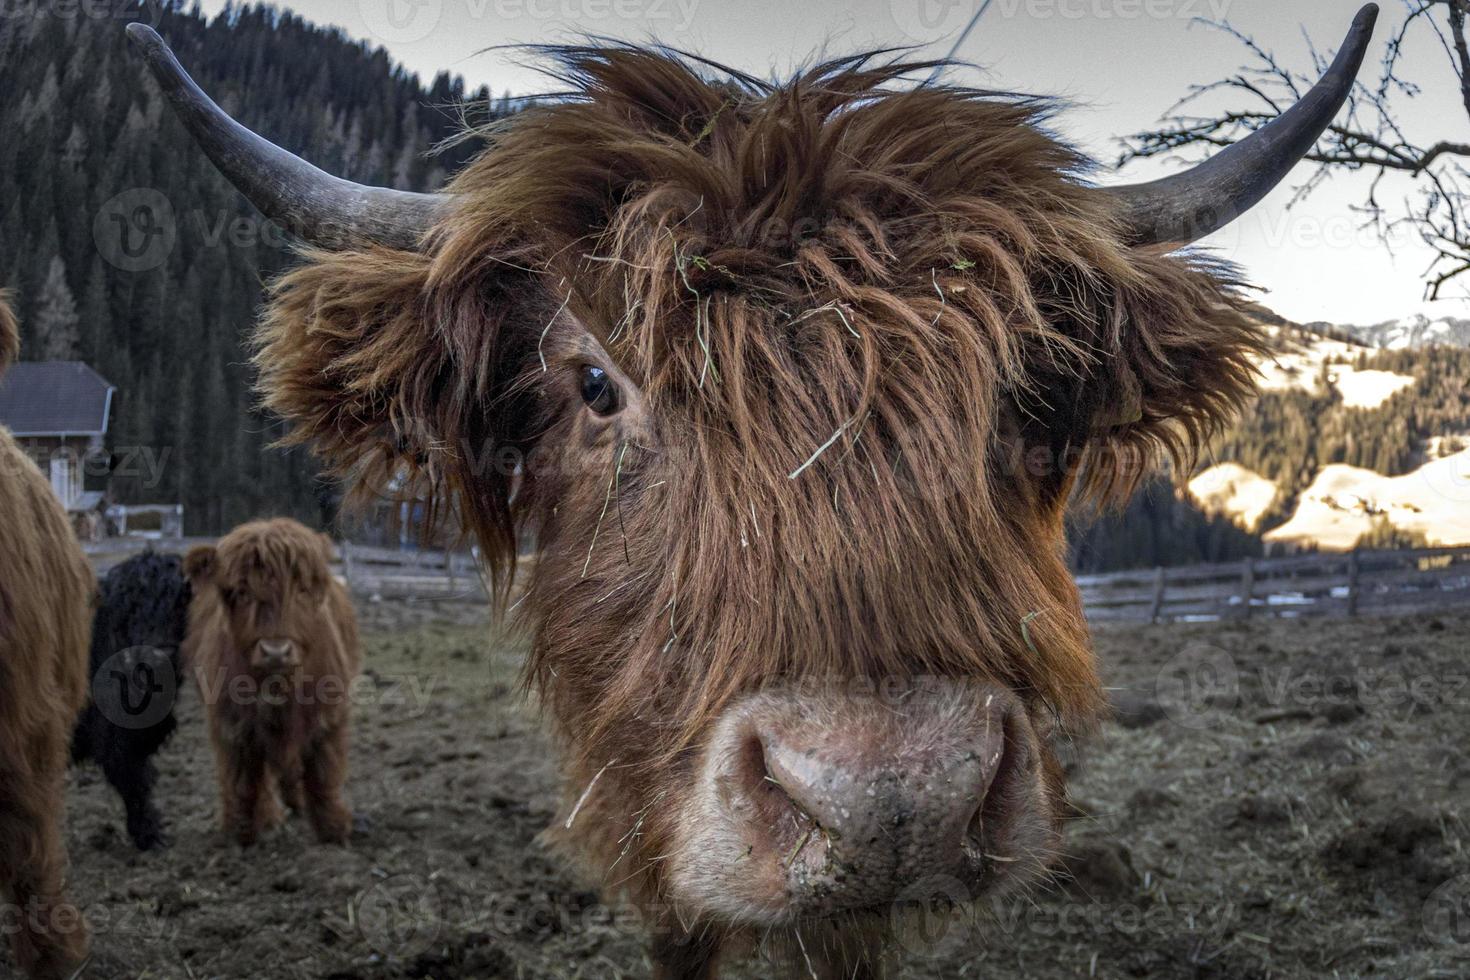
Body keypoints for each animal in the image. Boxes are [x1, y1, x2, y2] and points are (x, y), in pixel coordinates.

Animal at [70, 552, 191, 852]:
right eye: (130, 608)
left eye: (180, 601)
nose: (159, 654)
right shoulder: (115, 737)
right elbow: (134, 783)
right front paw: (149, 835)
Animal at [182, 517, 360, 846]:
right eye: (241, 592)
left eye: (301, 589)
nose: (276, 651)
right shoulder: (233, 723)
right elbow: (241, 780)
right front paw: (242, 831)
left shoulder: (328, 715)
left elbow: (323, 771)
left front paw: (334, 830)